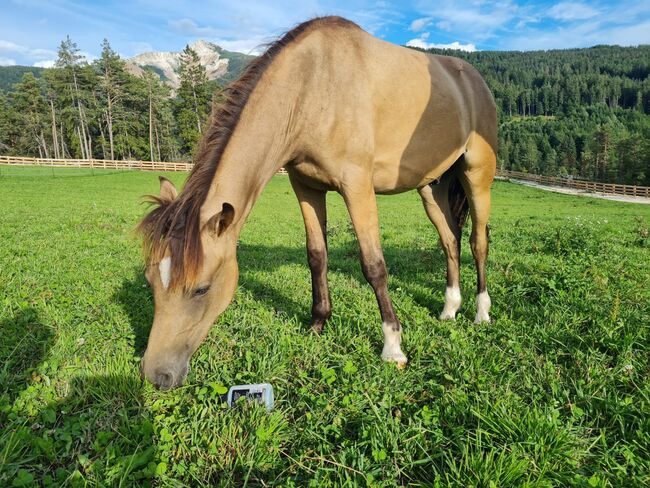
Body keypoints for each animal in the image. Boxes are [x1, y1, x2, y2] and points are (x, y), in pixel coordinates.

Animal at [135, 16, 492, 388]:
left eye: (201, 290)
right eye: (150, 280)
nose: (157, 375)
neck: (313, 87)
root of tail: (473, 79)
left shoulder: (357, 188)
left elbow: (374, 265)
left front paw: (393, 347)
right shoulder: (305, 187)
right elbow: (317, 256)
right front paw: (318, 323)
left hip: (478, 174)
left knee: (478, 241)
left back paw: (481, 312)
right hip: (431, 188)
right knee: (450, 241)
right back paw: (450, 309)